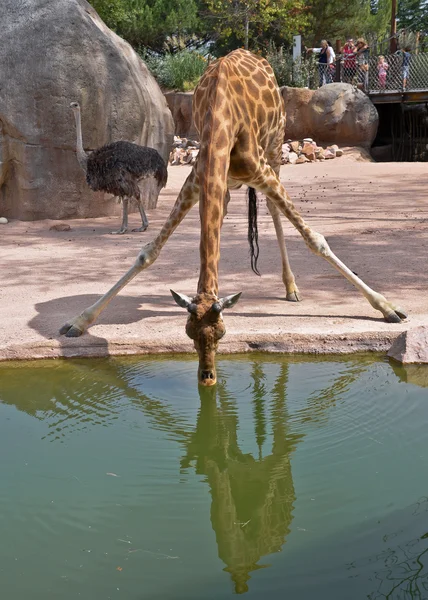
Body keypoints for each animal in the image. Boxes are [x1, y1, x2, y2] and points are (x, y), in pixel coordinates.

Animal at [59, 51, 404, 390]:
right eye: (188, 332)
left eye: (222, 333)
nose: (207, 378)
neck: (221, 118)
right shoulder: (197, 178)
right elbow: (149, 252)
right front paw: (77, 322)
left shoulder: (259, 169)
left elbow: (315, 240)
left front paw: (388, 308)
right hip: (227, 182)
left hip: (274, 149)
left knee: (273, 209)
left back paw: (291, 287)